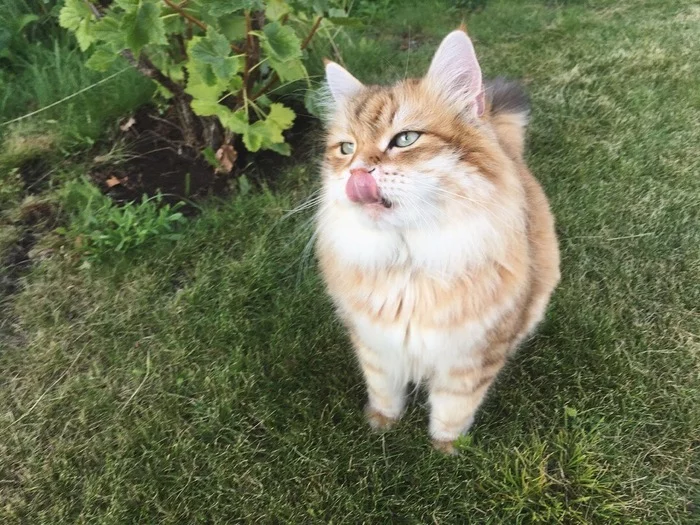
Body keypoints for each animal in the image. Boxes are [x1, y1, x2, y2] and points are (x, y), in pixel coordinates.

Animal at [314, 29, 560, 454]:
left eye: (405, 139)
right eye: (346, 149)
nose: (356, 172)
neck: (409, 263)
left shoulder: (471, 357)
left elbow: (453, 408)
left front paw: (445, 449)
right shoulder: (374, 346)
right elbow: (384, 391)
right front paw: (381, 425)